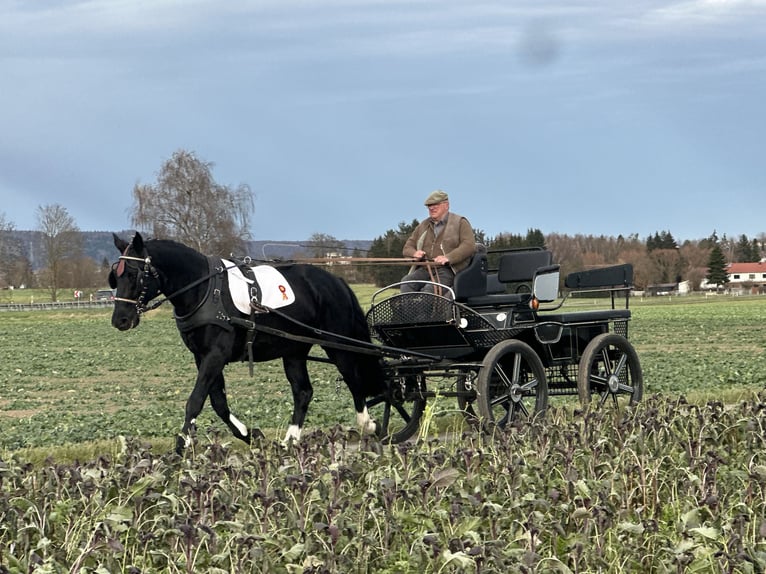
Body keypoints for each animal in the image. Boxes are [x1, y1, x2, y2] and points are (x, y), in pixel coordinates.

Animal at [110, 234, 388, 454]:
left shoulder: (216, 354)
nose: (119, 319)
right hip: (294, 350)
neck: (205, 289)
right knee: (303, 392)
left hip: (336, 343)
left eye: (133, 274)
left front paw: (181, 446)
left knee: (354, 380)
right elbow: (218, 403)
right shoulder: (203, 356)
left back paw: (369, 425)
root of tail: (335, 281)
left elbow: (196, 400)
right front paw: (250, 435)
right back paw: (289, 441)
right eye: (115, 276)